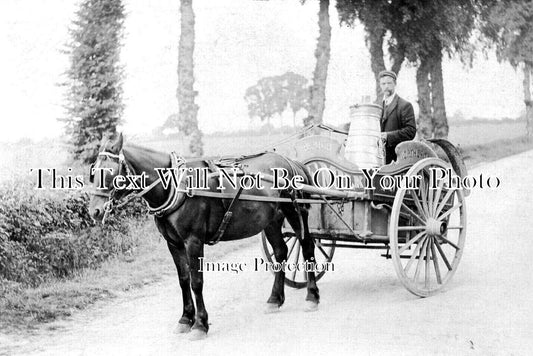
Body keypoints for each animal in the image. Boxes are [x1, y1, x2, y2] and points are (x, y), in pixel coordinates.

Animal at [88, 134, 320, 340]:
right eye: (93, 172)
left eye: (109, 172)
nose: (94, 211)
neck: (177, 186)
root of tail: (290, 161)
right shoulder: (173, 243)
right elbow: (183, 280)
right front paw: (185, 319)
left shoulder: (193, 241)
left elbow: (196, 282)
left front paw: (200, 324)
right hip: (271, 220)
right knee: (280, 251)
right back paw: (274, 299)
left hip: (296, 211)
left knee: (307, 245)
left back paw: (312, 296)